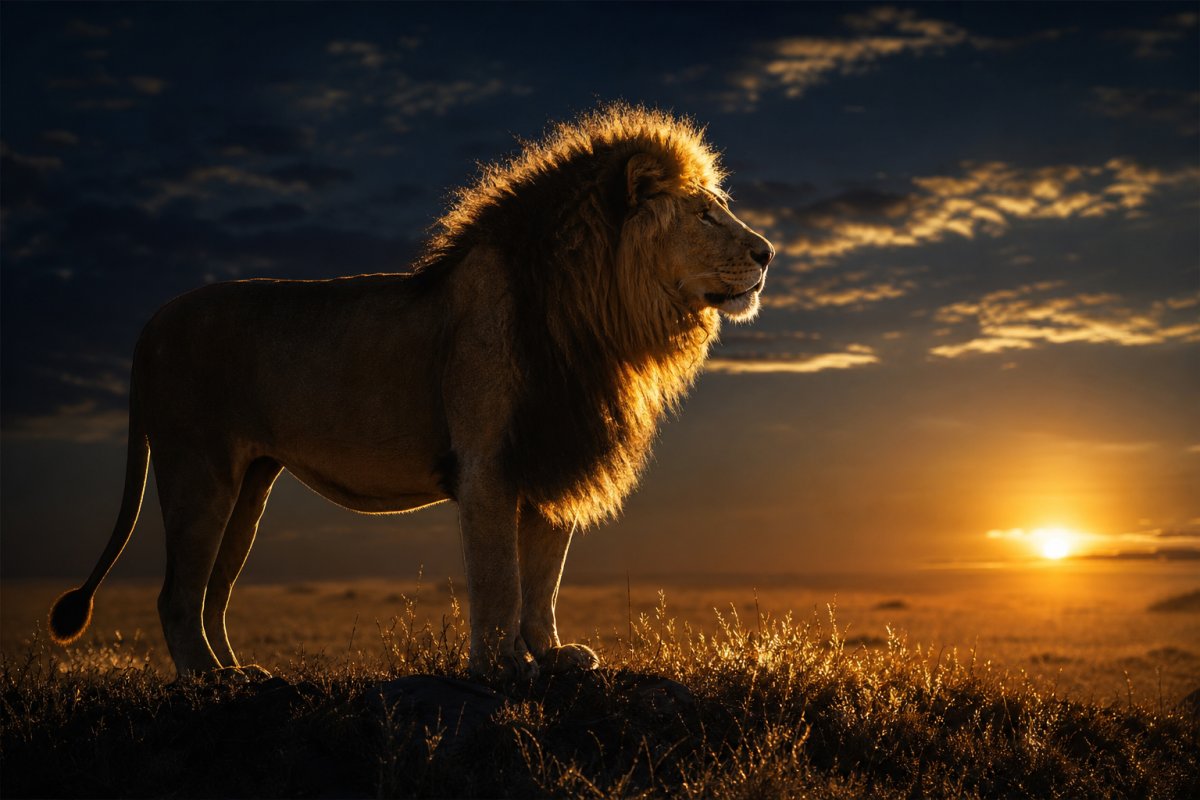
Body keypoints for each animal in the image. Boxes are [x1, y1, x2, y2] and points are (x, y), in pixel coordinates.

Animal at [48, 103, 773, 679]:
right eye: (707, 214)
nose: (767, 253)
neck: (593, 316)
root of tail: (150, 324)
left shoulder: (554, 452)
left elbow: (544, 577)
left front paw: (551, 655)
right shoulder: (488, 464)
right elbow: (500, 579)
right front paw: (500, 665)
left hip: (249, 483)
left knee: (212, 593)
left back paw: (242, 672)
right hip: (198, 468)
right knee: (177, 594)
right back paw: (207, 679)